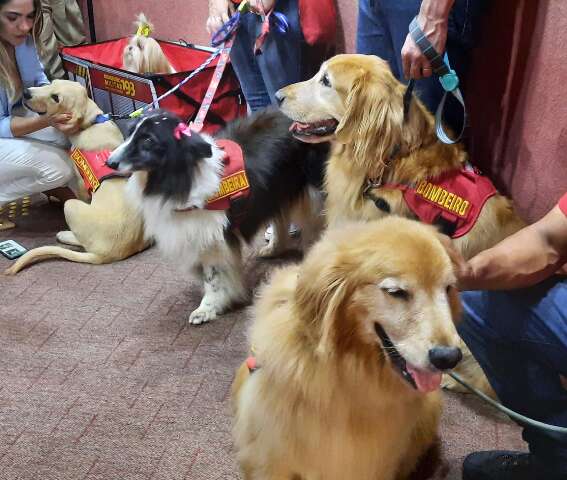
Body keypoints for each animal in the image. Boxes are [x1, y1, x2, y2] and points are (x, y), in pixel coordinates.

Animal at [3, 79, 149, 274]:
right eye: (51, 83)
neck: (91, 122)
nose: (26, 93)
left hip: (71, 206)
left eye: (56, 98)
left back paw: (64, 234)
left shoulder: (81, 184)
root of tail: (108, 255)